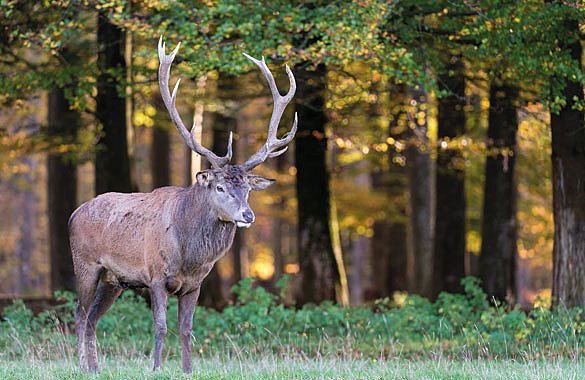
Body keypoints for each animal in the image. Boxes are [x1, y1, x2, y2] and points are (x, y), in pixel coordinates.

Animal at [68, 37, 296, 372]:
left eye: (247, 189)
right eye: (220, 186)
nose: (248, 214)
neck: (189, 256)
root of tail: (73, 214)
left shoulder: (194, 285)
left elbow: (187, 328)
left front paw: (188, 369)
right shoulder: (156, 276)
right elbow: (160, 326)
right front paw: (156, 368)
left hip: (113, 280)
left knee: (93, 318)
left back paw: (95, 368)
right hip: (84, 264)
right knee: (80, 314)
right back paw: (81, 365)